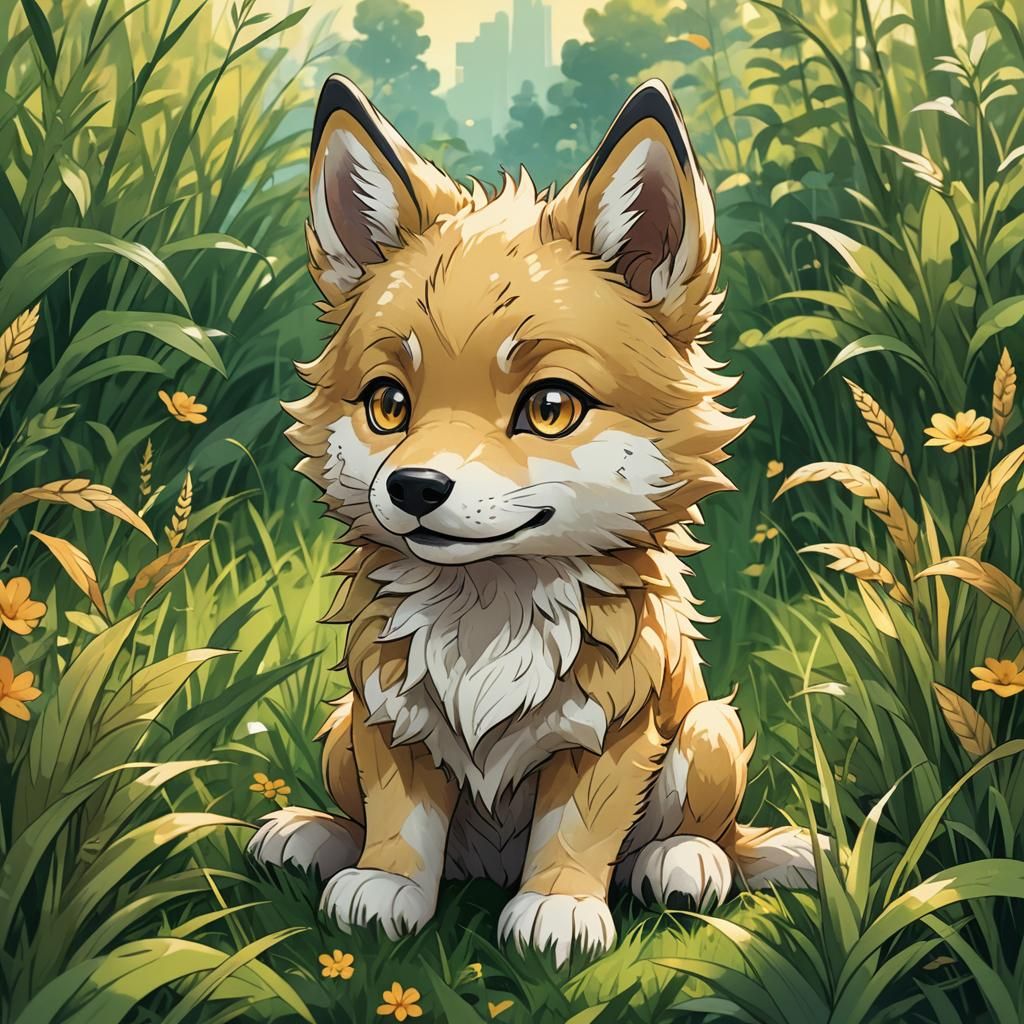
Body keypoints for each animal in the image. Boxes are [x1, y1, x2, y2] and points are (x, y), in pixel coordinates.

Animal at [248, 75, 817, 966]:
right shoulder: (386, 717)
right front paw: (383, 886)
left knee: (715, 835)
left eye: (550, 408)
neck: (488, 618)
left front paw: (557, 908)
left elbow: (577, 831)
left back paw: (683, 860)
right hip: (339, 728)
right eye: (388, 405)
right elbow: (400, 821)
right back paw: (315, 837)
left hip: (707, 731)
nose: (413, 487)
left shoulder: (613, 728)